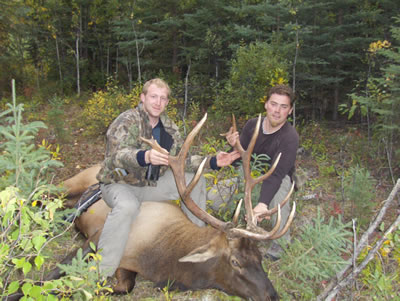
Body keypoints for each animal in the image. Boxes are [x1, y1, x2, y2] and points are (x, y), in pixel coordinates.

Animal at [49, 113, 294, 298]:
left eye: (259, 257)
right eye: (235, 261)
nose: (273, 296)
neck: (160, 260)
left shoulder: (128, 266)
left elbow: (123, 286)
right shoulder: (97, 238)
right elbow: (57, 272)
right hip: (69, 184)